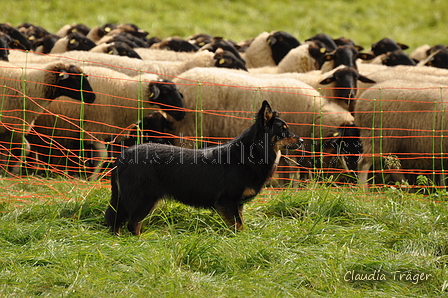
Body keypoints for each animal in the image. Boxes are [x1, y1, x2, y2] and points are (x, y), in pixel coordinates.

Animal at [29, 66, 186, 178]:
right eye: (165, 92)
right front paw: (91, 179)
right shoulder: (94, 129)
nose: (182, 114)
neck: (124, 93)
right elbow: (103, 156)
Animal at [105, 100, 300, 235]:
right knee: (130, 223)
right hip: (144, 199)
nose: (302, 141)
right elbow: (238, 226)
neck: (252, 154)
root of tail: (123, 156)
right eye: (284, 130)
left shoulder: (237, 205)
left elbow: (241, 225)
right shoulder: (228, 201)